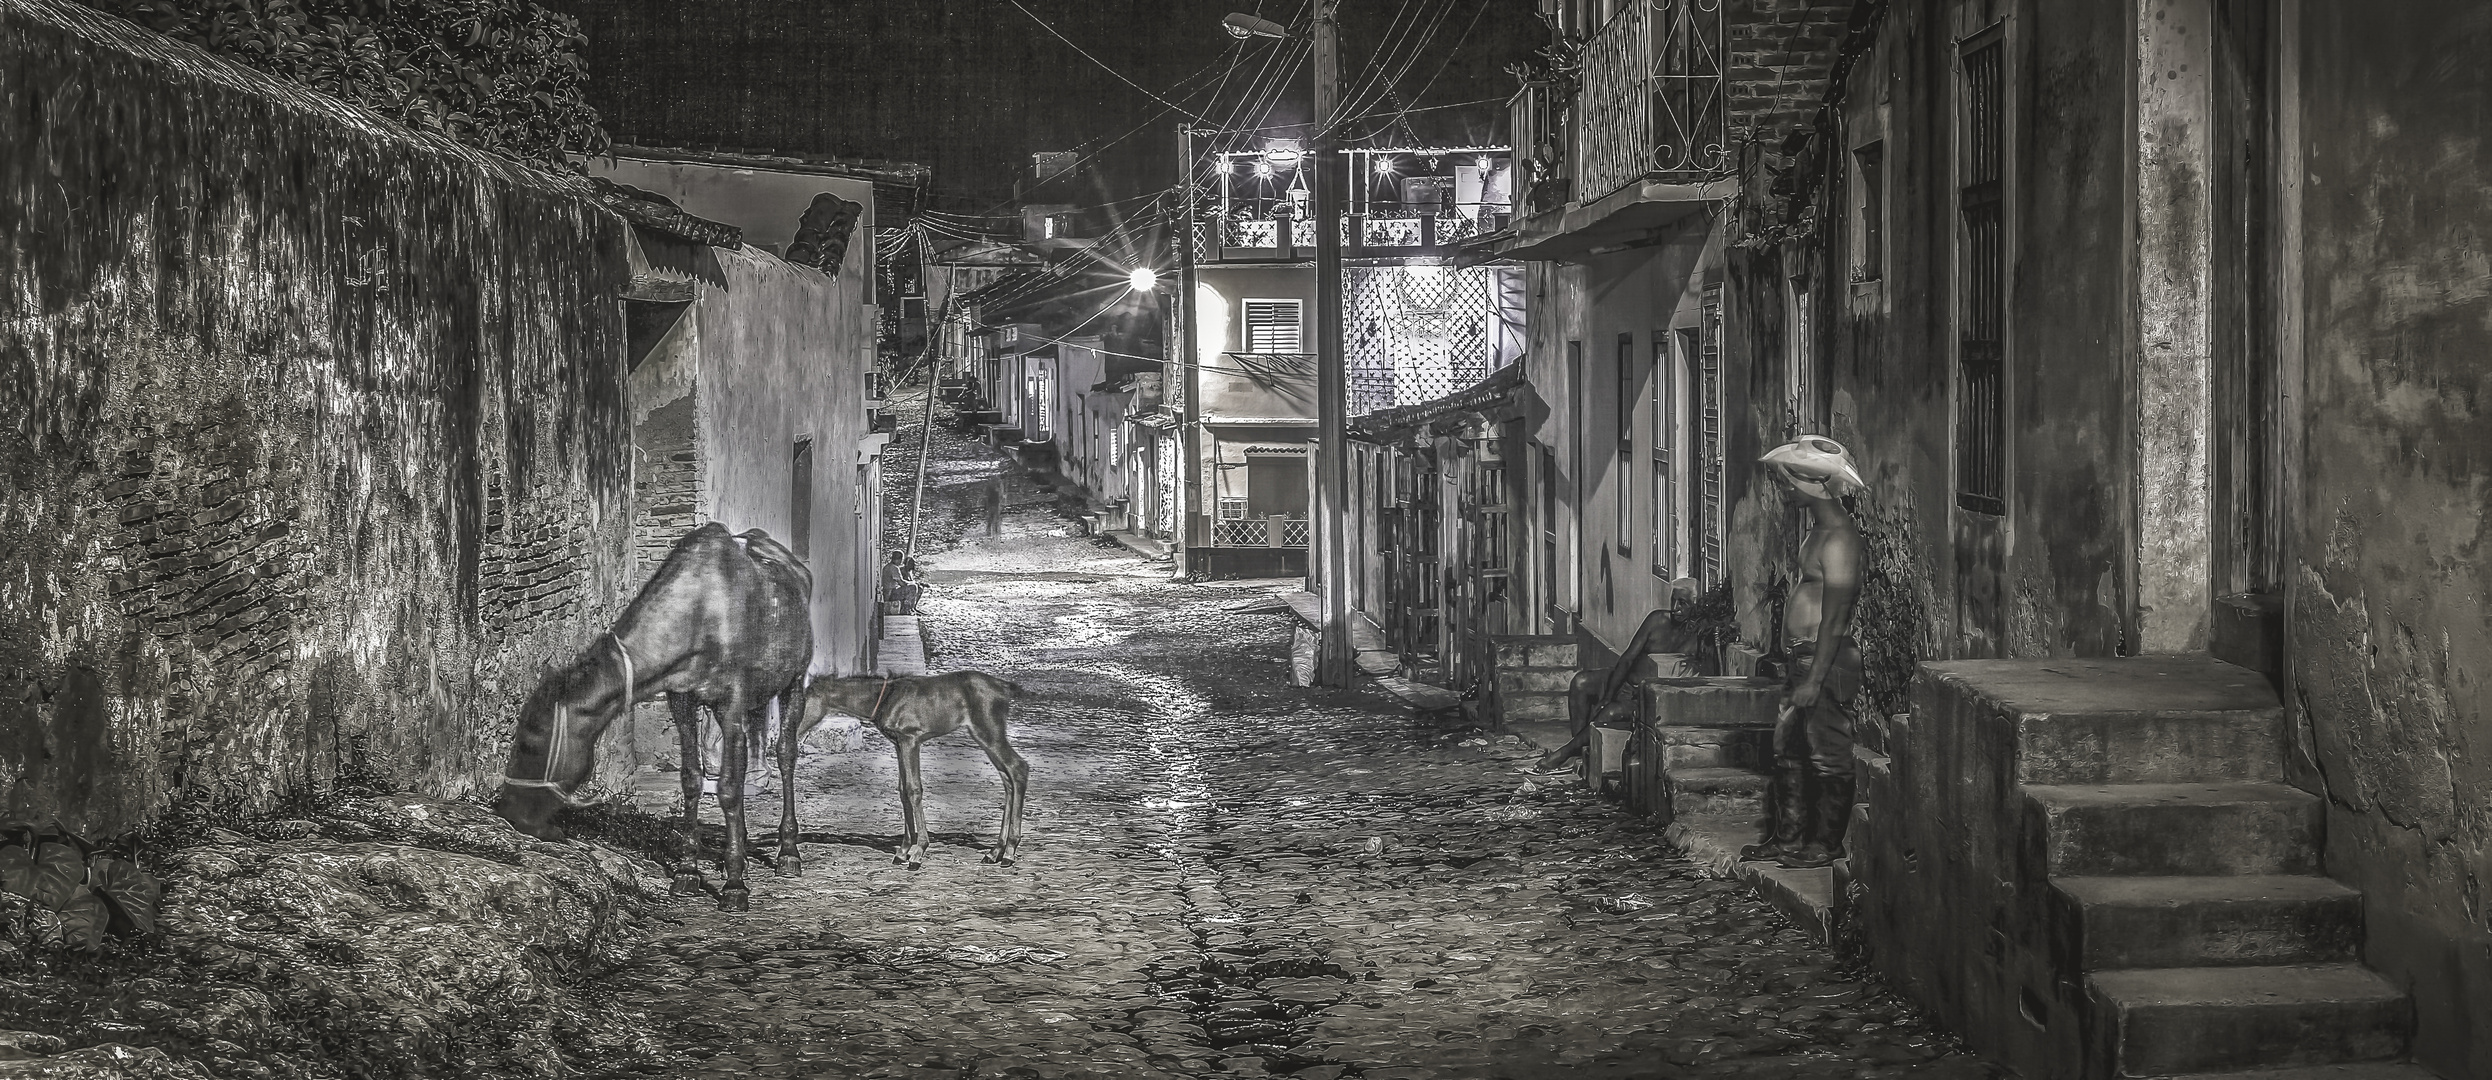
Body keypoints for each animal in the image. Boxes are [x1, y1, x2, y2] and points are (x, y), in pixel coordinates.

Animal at [498, 521, 817, 907]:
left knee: (785, 754)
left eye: (528, 744)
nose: (510, 812)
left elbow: (728, 787)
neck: (701, 612)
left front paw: (735, 884)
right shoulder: (681, 699)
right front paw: (688, 870)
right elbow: (693, 780)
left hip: (795, 680)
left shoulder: (733, 705)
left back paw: (787, 851)